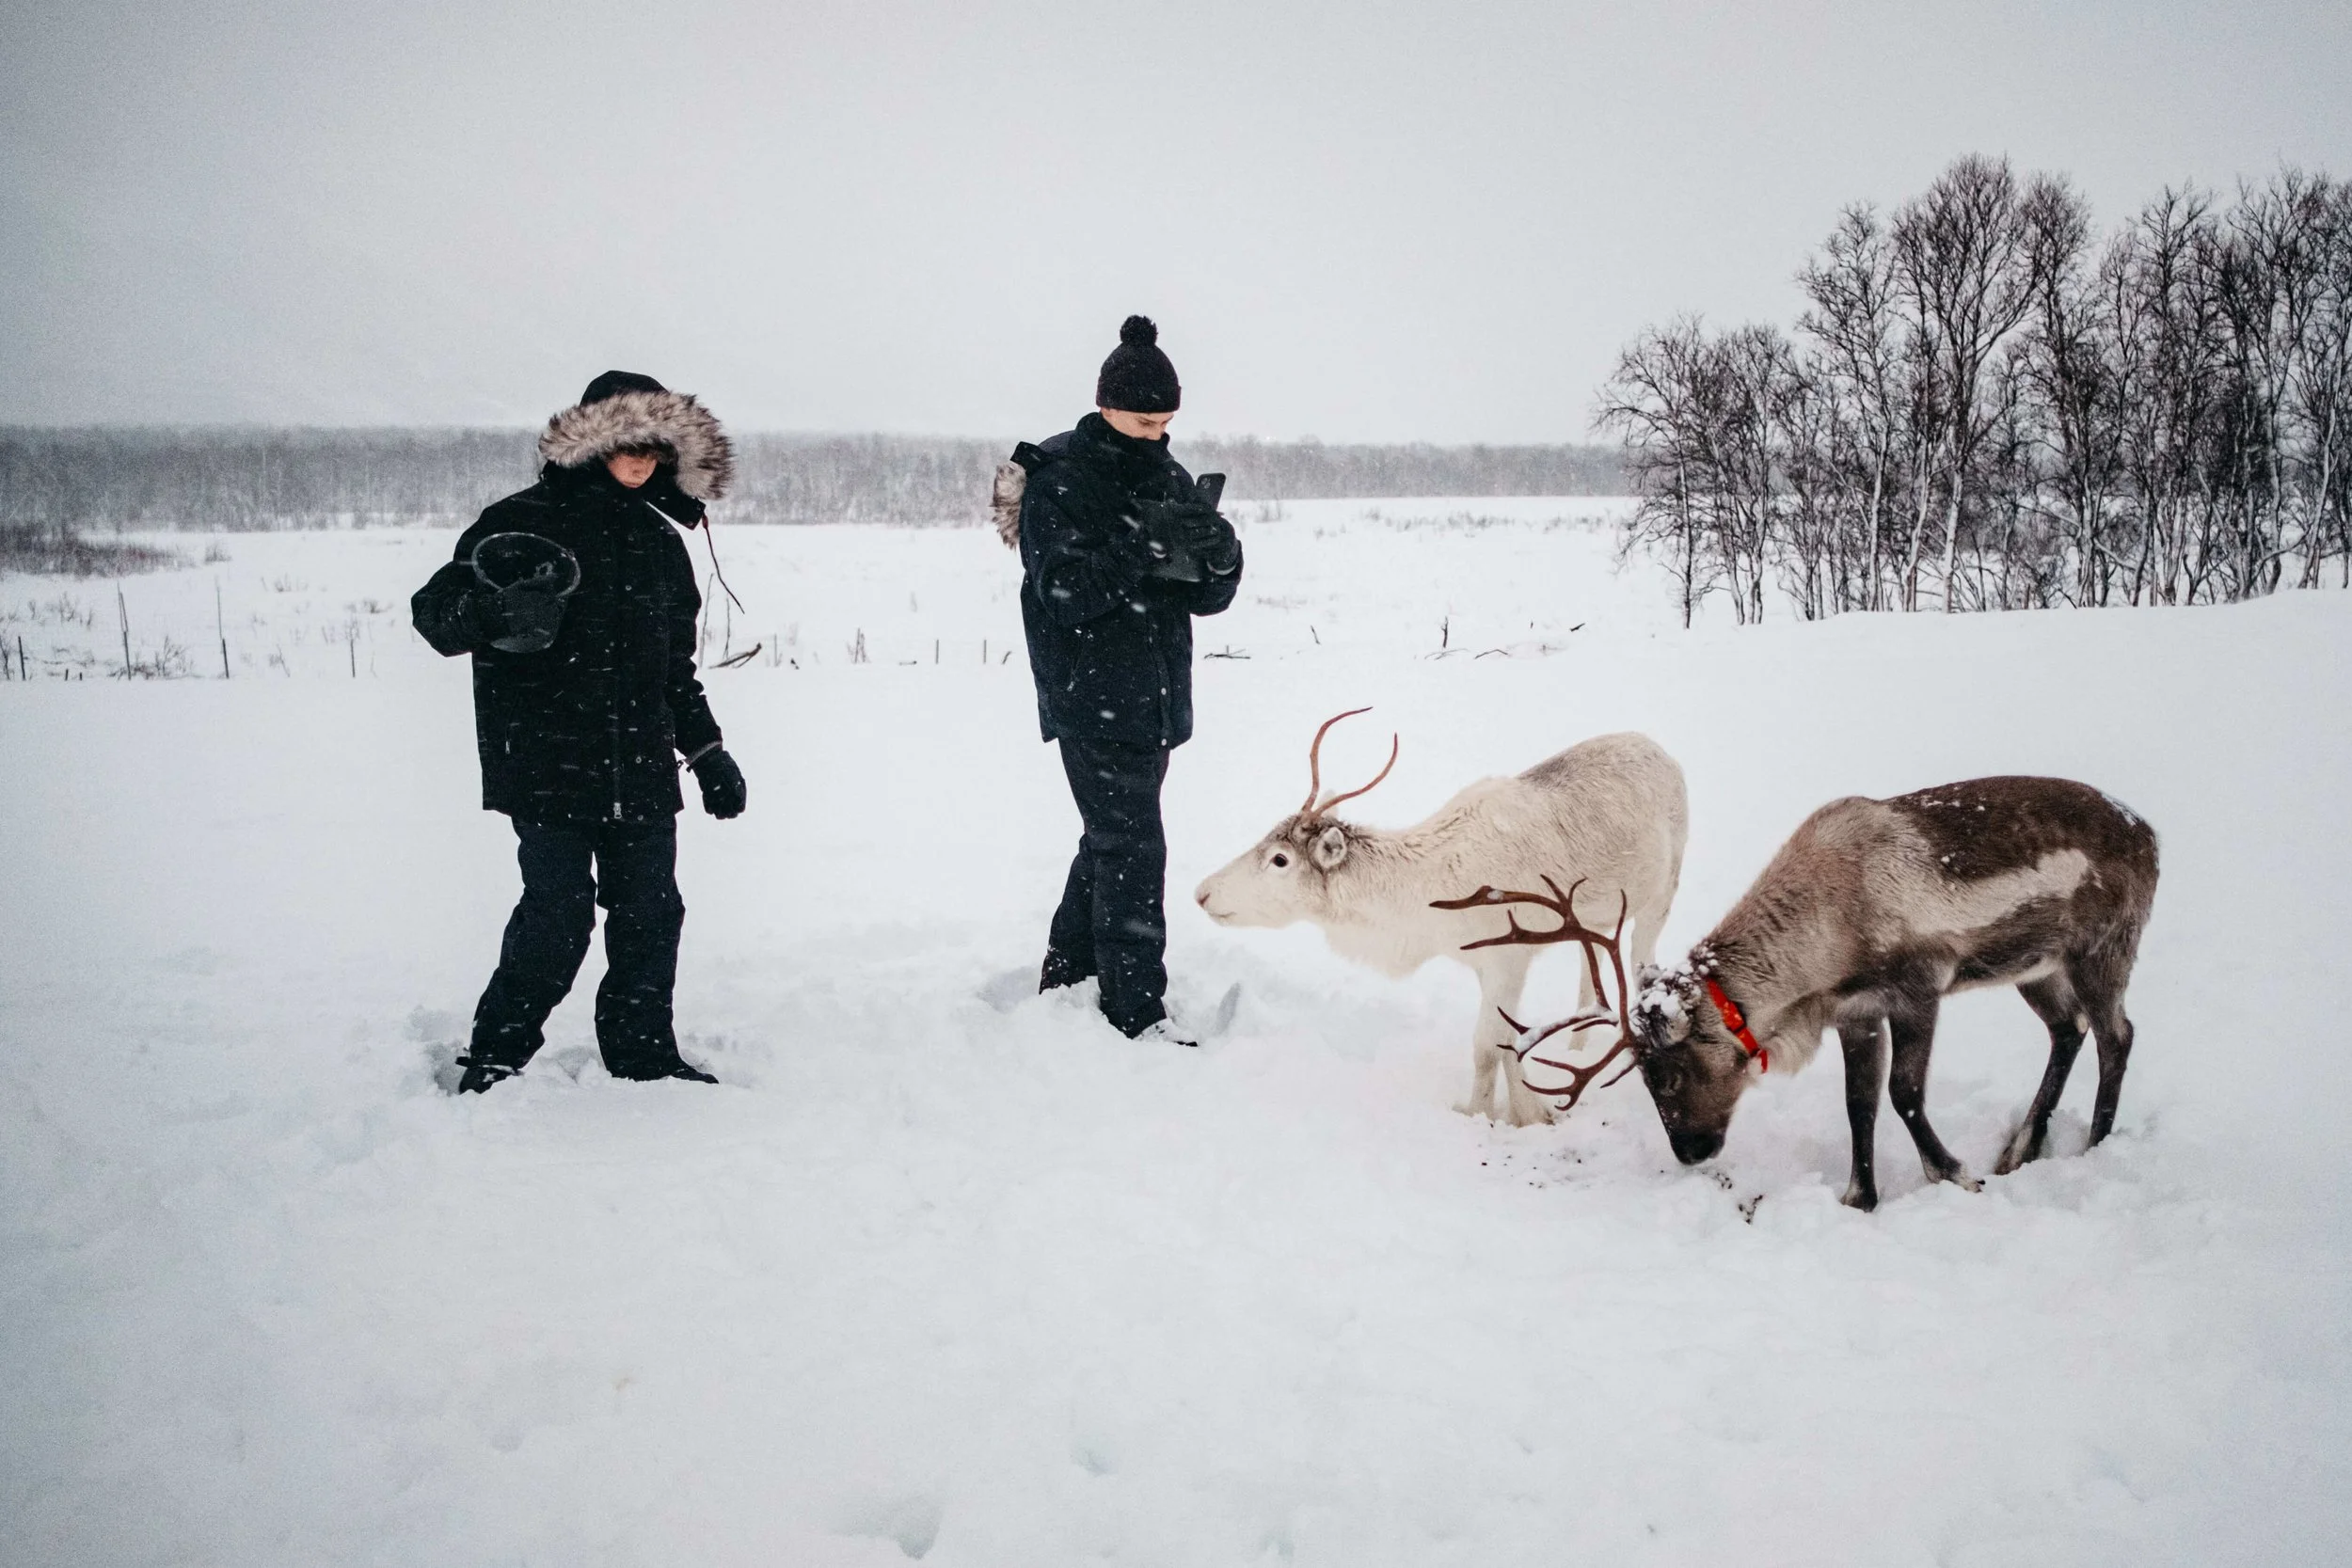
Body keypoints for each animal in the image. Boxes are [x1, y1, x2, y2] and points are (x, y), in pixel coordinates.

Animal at [1194, 711, 1686, 1126]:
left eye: (1279, 860)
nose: (1202, 892)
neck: (1425, 895)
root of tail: (1660, 749)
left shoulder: (1509, 958)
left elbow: (1487, 1045)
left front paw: (1483, 1115)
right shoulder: (1484, 964)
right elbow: (1508, 1041)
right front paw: (1531, 1113)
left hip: (1660, 897)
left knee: (1640, 963)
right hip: (1594, 920)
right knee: (1590, 967)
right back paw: (1577, 1047)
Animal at [1474, 775, 2159, 1210]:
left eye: (1669, 1072)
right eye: (1643, 1077)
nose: (1691, 1152)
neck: (1824, 943)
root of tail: (2151, 835)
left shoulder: (1918, 988)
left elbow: (1904, 1094)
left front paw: (1956, 1175)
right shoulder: (1854, 1014)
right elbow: (1860, 1105)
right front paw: (1861, 1197)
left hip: (2102, 948)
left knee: (2117, 1034)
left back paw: (2094, 1146)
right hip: (2036, 968)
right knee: (2068, 1029)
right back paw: (2022, 1148)